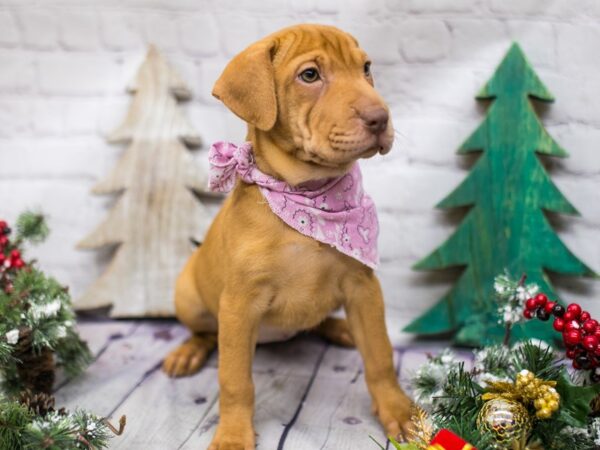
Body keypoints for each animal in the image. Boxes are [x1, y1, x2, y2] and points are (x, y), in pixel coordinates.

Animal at [164, 25, 412, 450]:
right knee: (205, 332)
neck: (305, 194)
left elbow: (379, 355)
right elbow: (235, 380)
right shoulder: (239, 305)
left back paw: (341, 329)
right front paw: (233, 434)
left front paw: (399, 411)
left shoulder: (363, 286)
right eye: (309, 75)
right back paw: (188, 351)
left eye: (366, 68)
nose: (380, 118)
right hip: (189, 295)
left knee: (318, 322)